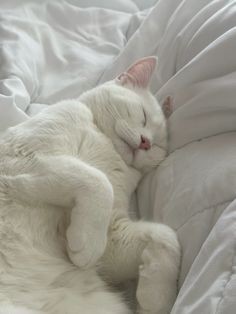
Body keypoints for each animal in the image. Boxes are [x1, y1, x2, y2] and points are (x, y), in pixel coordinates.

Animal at [0, 57, 180, 314]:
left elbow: (165, 236)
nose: (146, 142)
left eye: (158, 146)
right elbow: (97, 180)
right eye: (143, 116)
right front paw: (87, 245)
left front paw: (155, 300)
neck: (106, 144)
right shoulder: (21, 159)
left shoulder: (113, 236)